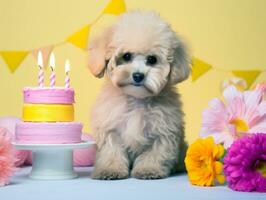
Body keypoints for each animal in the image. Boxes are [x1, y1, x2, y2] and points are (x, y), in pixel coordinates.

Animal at [88, 10, 190, 180]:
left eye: (152, 59)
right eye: (126, 56)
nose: (138, 75)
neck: (136, 98)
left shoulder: (163, 130)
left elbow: (155, 152)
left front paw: (149, 169)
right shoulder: (111, 128)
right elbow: (111, 151)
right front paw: (110, 169)